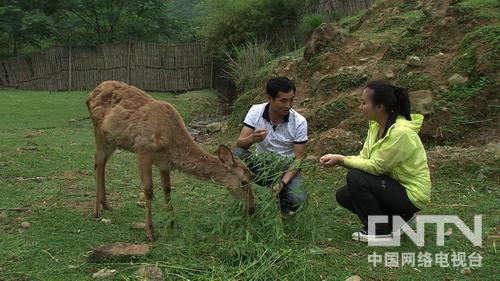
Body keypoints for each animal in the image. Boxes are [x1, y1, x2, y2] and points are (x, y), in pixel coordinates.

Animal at [85, 80, 254, 240]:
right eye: (244, 182)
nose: (252, 209)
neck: (170, 143)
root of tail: (90, 94)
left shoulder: (164, 163)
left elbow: (167, 189)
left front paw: (173, 223)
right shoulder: (143, 151)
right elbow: (148, 191)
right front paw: (150, 232)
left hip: (114, 141)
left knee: (102, 163)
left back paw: (106, 204)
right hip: (99, 130)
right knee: (98, 162)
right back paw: (96, 211)